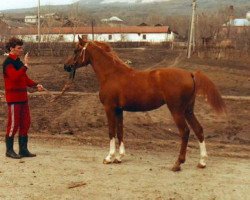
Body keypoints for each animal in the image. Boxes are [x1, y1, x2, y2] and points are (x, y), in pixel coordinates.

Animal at [63, 36, 226, 172]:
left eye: (76, 50)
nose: (66, 66)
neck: (111, 74)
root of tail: (190, 74)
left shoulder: (109, 108)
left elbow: (111, 132)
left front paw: (109, 157)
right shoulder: (119, 110)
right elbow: (120, 131)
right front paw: (119, 157)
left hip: (176, 110)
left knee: (185, 132)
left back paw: (177, 164)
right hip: (188, 110)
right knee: (199, 130)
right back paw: (202, 162)